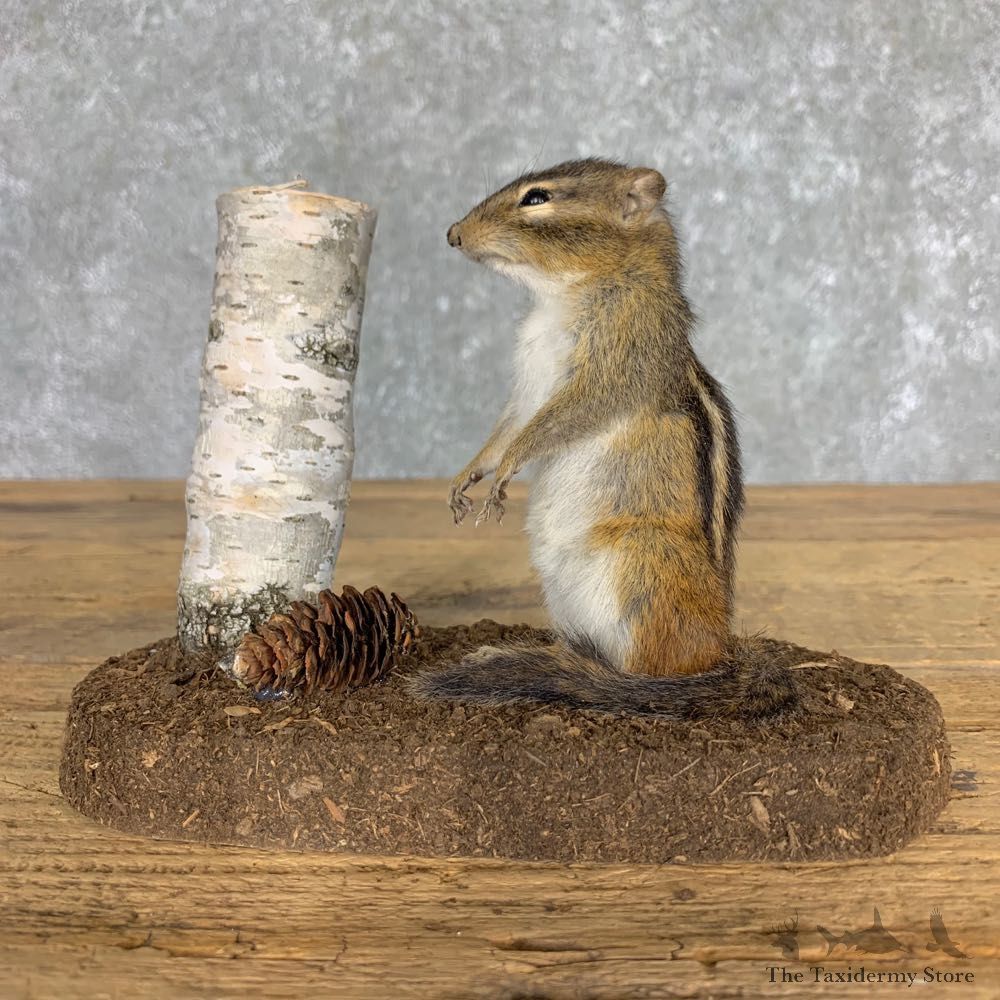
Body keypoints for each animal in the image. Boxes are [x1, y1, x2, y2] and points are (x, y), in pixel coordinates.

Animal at [409, 158, 796, 720]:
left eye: (537, 198)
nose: (453, 234)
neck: (561, 297)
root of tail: (721, 651)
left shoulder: (611, 366)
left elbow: (551, 425)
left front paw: (504, 476)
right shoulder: (526, 390)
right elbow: (506, 429)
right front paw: (469, 475)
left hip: (638, 568)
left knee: (647, 672)